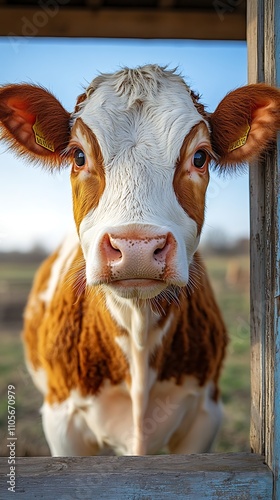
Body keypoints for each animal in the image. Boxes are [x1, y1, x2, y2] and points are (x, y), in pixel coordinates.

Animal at [0, 66, 280, 458]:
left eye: (200, 157)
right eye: (78, 155)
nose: (136, 247)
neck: (138, 330)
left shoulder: (204, 415)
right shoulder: (62, 421)